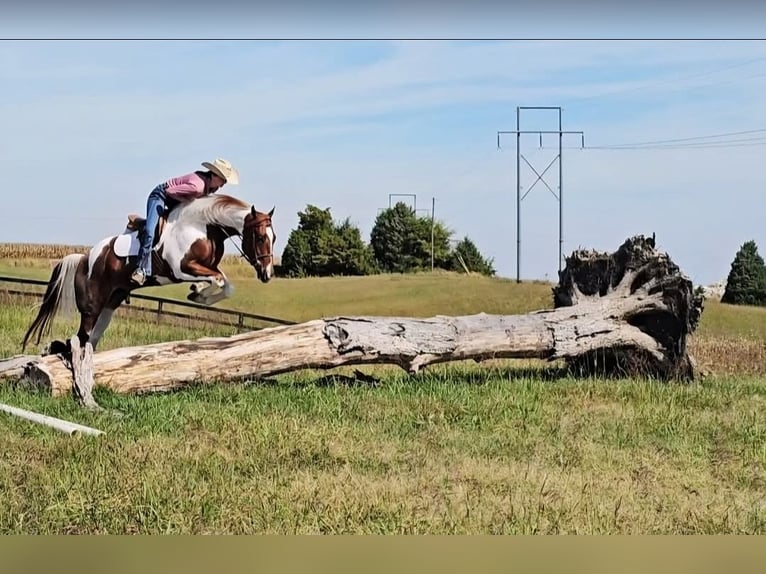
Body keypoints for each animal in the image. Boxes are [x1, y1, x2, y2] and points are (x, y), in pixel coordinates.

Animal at [21, 193, 276, 354]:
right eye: (260, 238)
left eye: (273, 238)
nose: (267, 274)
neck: (202, 227)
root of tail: (84, 258)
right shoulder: (181, 269)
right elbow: (219, 279)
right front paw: (198, 292)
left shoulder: (204, 267)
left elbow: (226, 284)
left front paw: (199, 293)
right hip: (91, 307)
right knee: (82, 337)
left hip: (111, 302)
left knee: (92, 337)